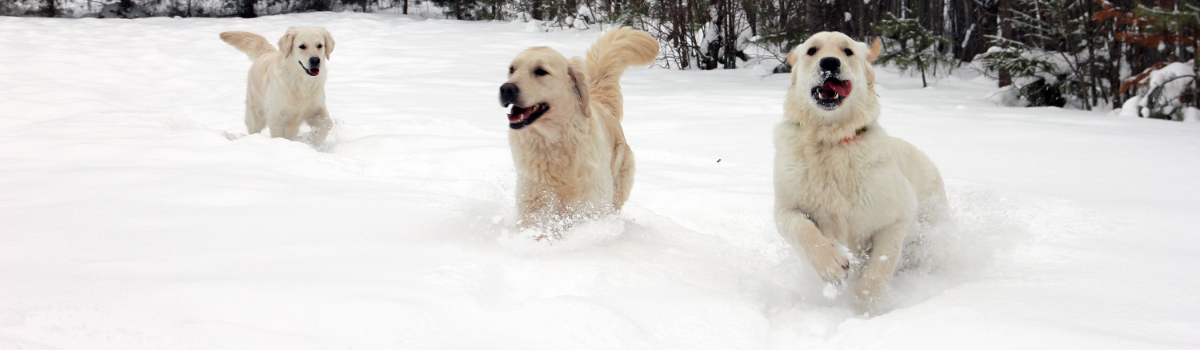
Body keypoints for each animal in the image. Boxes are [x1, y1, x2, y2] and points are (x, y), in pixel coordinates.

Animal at [501, 27, 662, 233]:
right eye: (512, 69)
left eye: (541, 71)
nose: (506, 89)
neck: (553, 144)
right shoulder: (534, 203)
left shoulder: (592, 206)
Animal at [772, 31, 950, 302]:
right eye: (812, 51)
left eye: (848, 51)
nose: (830, 63)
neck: (832, 140)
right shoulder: (786, 208)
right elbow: (803, 230)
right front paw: (832, 266)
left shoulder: (897, 218)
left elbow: (880, 267)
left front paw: (863, 303)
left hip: (930, 229)